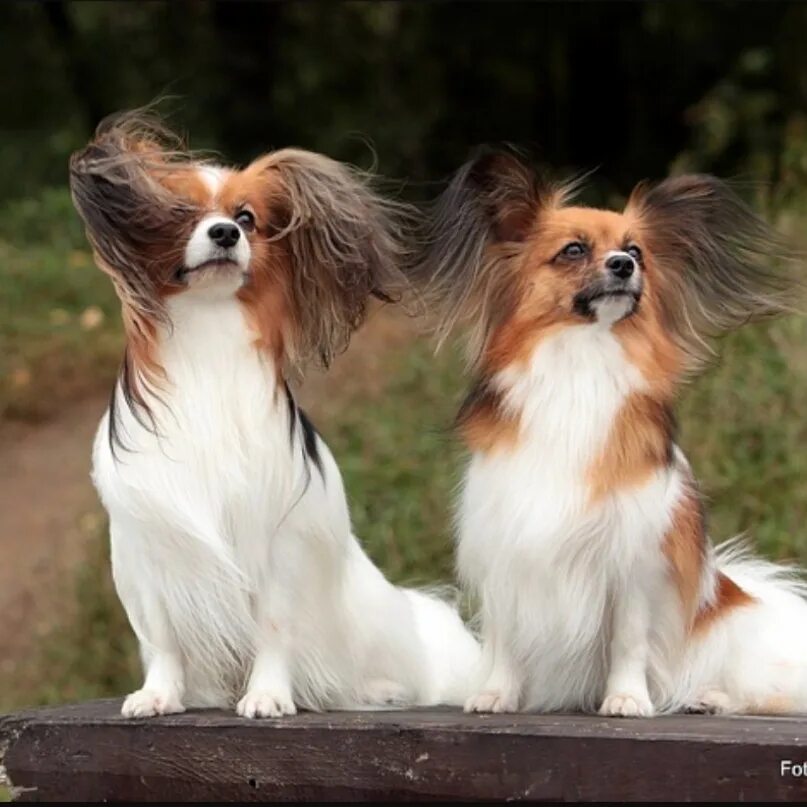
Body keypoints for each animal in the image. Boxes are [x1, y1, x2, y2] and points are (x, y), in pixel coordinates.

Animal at [68, 113, 480, 720]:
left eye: (246, 219)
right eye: (181, 214)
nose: (224, 234)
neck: (209, 332)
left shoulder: (279, 544)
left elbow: (274, 628)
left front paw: (267, 696)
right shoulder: (150, 547)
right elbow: (163, 639)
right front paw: (159, 695)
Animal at [414, 148, 804, 716]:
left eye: (635, 250)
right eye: (573, 250)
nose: (624, 265)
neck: (582, 360)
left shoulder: (634, 559)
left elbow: (628, 639)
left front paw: (625, 699)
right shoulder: (507, 540)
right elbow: (507, 636)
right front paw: (497, 693)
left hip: (735, 632)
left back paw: (709, 697)